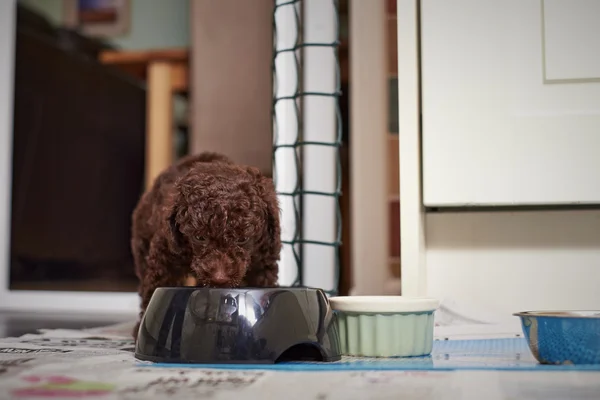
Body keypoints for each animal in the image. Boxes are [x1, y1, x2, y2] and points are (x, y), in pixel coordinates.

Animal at [131, 153, 282, 338]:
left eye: (243, 239)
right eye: (199, 237)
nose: (219, 278)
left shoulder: (263, 259)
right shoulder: (165, 253)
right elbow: (154, 287)